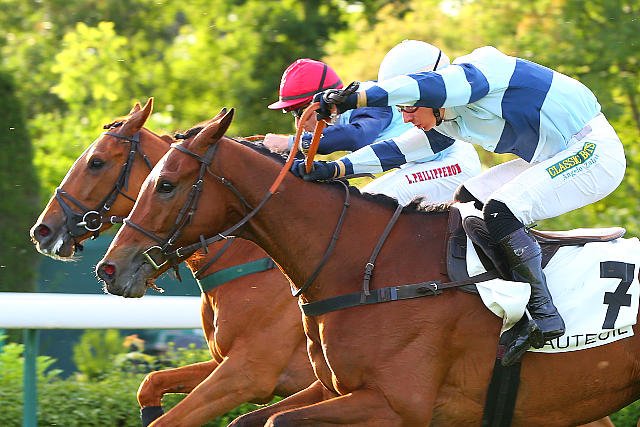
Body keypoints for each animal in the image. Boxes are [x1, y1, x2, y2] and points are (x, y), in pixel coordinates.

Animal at [96, 109, 639, 426]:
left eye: (167, 185)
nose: (109, 268)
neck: (370, 270)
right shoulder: (327, 386)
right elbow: (246, 419)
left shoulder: (394, 404)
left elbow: (270, 420)